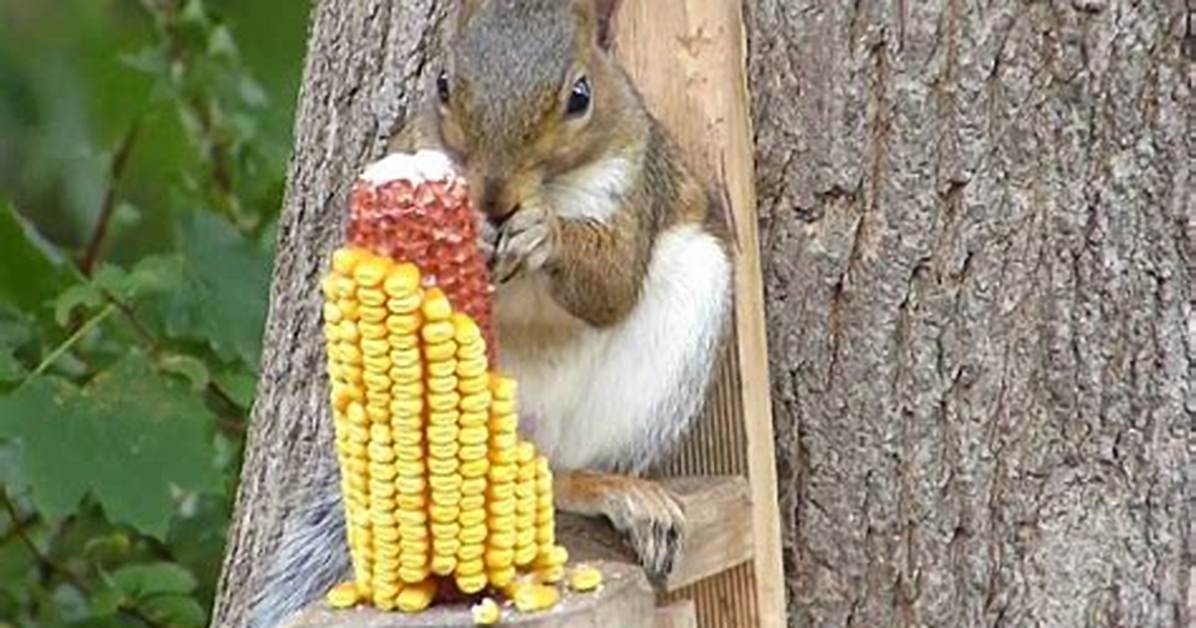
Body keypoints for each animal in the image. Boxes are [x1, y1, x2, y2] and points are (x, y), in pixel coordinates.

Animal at [252, 1, 732, 625]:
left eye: (580, 97)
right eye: (442, 84)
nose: (495, 199)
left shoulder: (637, 183)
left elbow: (612, 284)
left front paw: (545, 234)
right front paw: (468, 231)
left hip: (679, 322)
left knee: (562, 472)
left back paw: (617, 494)